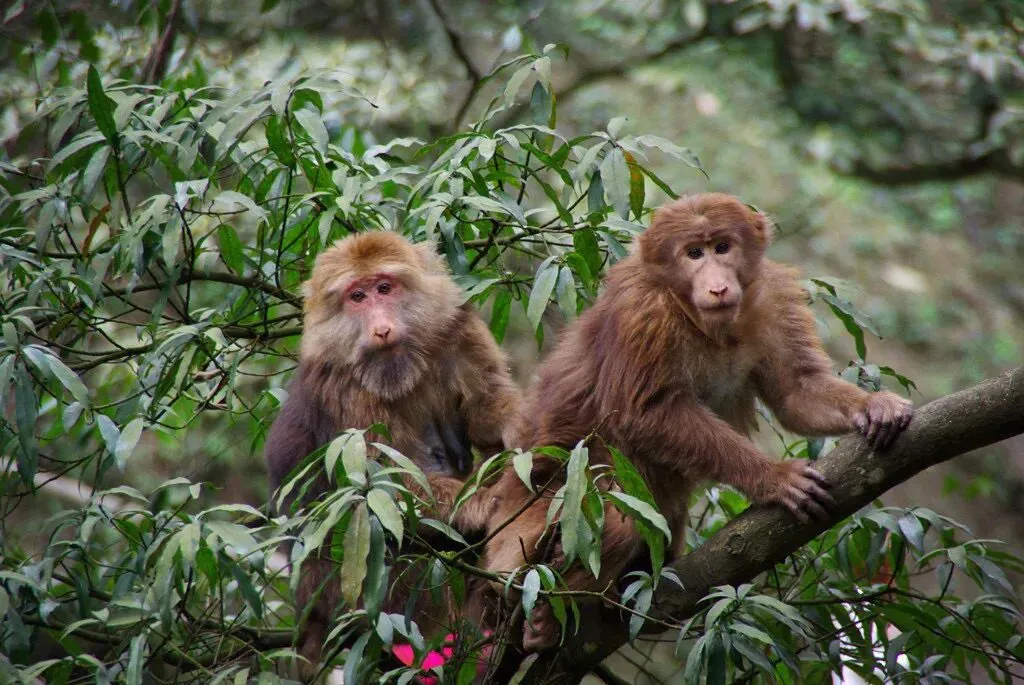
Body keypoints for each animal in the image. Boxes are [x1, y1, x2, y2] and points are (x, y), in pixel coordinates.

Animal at [263, 231, 522, 674]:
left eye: (384, 288)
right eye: (357, 296)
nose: (381, 327)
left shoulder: (457, 327)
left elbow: (485, 407)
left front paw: (520, 424)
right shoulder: (347, 390)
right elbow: (380, 489)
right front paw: (487, 502)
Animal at [478, 192, 913, 652]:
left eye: (722, 247)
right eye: (693, 254)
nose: (717, 284)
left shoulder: (773, 298)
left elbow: (797, 391)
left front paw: (875, 404)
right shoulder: (643, 312)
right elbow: (646, 413)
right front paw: (773, 477)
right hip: (521, 530)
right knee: (615, 518)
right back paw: (547, 613)